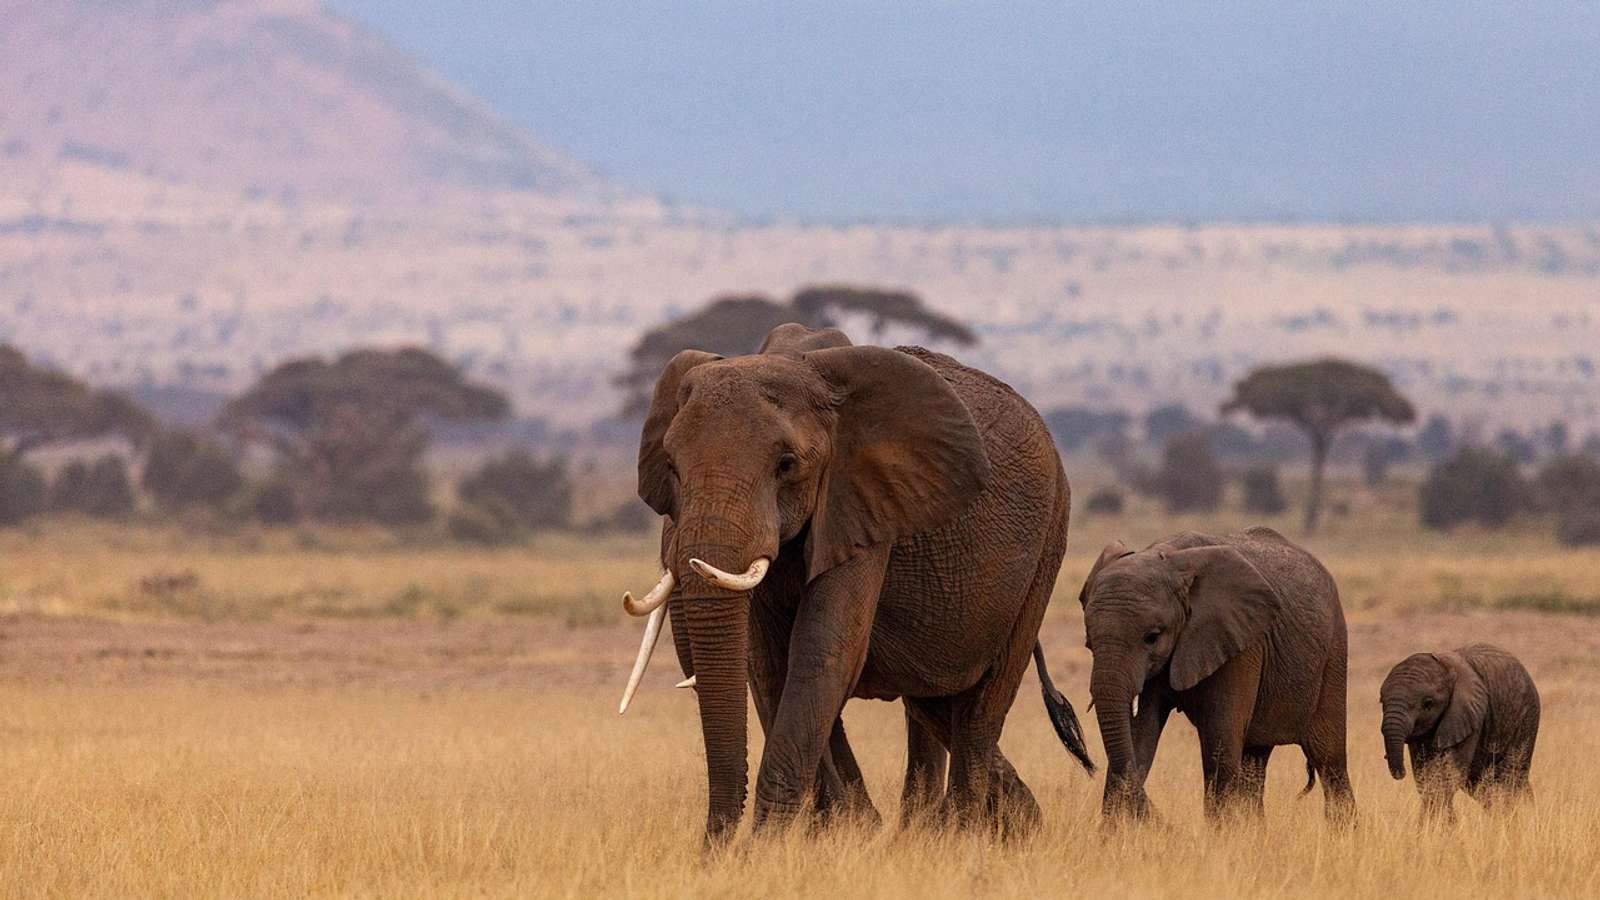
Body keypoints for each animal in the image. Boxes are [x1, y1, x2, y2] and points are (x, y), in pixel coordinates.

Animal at [616, 323, 1092, 844]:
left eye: (786, 465)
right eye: (672, 467)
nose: (713, 850)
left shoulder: (865, 506)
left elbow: (823, 652)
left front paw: (769, 845)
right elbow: (769, 664)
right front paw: (838, 833)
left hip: (1049, 540)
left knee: (983, 706)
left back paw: (961, 835)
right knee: (932, 701)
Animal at [1077, 527, 1355, 824]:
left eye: (1152, 637)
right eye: (1089, 643)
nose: (1167, 824)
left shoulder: (1240, 642)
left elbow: (1219, 740)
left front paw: (1223, 833)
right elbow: (1139, 735)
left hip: (1334, 652)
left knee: (1329, 757)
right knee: (1255, 760)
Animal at [1379, 643, 1539, 821]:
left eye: (1428, 703)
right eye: (1381, 702)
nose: (1400, 773)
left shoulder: (1469, 715)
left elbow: (1448, 773)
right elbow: (1424, 775)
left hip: (1526, 719)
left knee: (1510, 777)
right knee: (1484, 787)